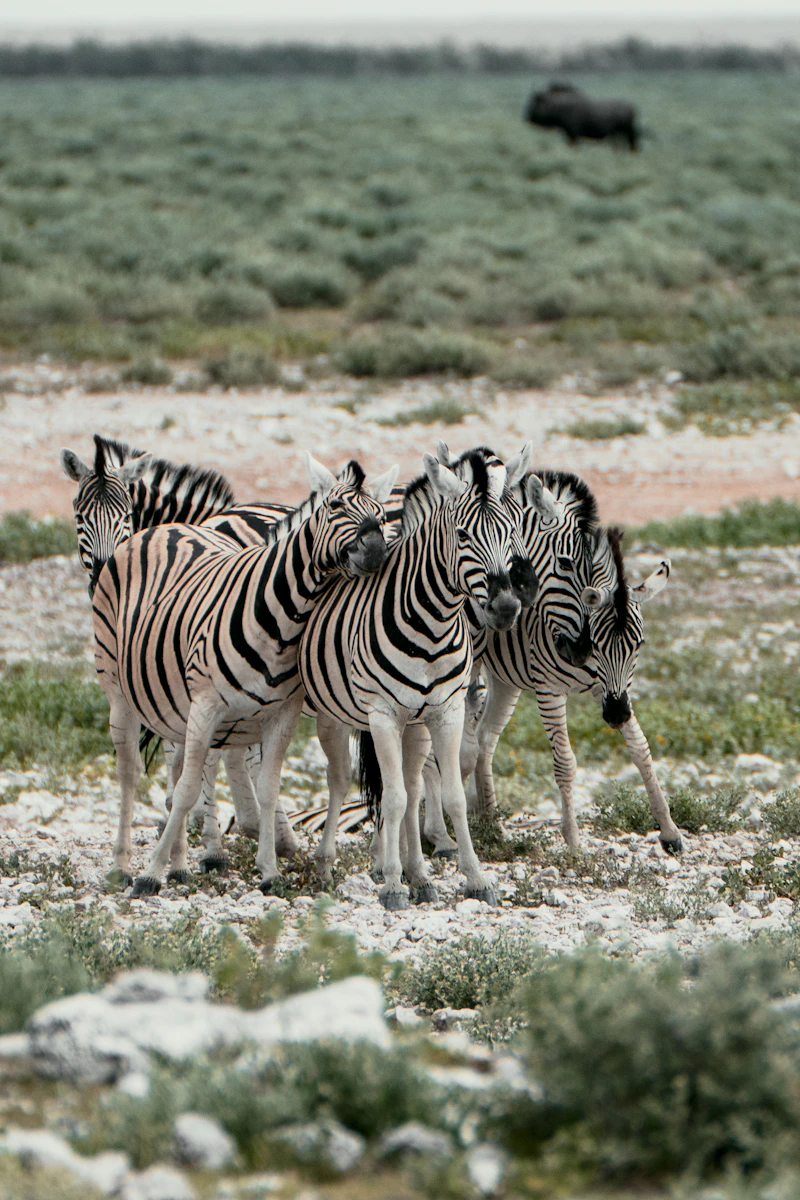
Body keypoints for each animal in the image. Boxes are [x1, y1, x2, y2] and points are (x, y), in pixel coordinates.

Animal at [90, 452, 397, 893]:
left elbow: (266, 789)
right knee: (130, 773)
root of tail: (164, 528)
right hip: (119, 688)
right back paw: (123, 865)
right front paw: (150, 873)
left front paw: (268, 871)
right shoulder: (206, 706)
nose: (375, 553)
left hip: (174, 706)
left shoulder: (281, 715)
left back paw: (179, 865)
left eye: (381, 515)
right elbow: (188, 791)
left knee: (177, 771)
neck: (285, 620)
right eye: (335, 506)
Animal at [298, 447, 534, 910]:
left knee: (410, 785)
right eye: (462, 535)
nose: (505, 607)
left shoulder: (445, 711)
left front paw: (475, 879)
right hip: (335, 715)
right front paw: (392, 885)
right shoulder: (383, 715)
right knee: (342, 781)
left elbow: (450, 796)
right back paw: (328, 865)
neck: (433, 625)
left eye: (513, 530)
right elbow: (391, 799)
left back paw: (418, 875)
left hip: (415, 724)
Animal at [423, 460, 682, 854]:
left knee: (484, 740)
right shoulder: (549, 689)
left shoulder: (608, 688)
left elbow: (641, 748)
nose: (616, 715)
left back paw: (490, 823)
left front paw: (669, 830)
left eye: (638, 645)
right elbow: (565, 762)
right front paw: (573, 842)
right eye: (599, 643)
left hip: (507, 680)